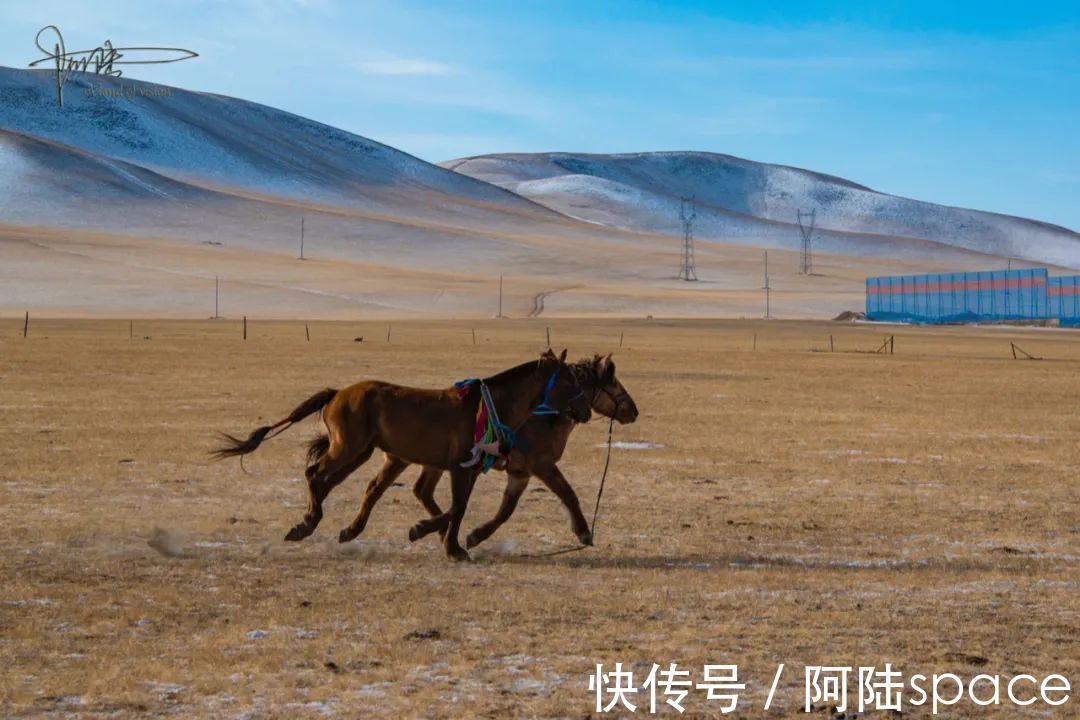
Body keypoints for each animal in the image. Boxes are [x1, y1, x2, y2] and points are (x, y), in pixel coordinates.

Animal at [209, 349, 591, 561]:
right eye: (568, 382)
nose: (585, 412)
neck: (488, 407)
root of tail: (337, 392)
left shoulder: (463, 469)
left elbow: (455, 507)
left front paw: (443, 540)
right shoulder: (460, 467)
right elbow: (457, 508)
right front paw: (447, 544)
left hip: (361, 453)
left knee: (336, 483)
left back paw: (334, 527)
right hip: (349, 448)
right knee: (316, 475)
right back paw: (307, 524)